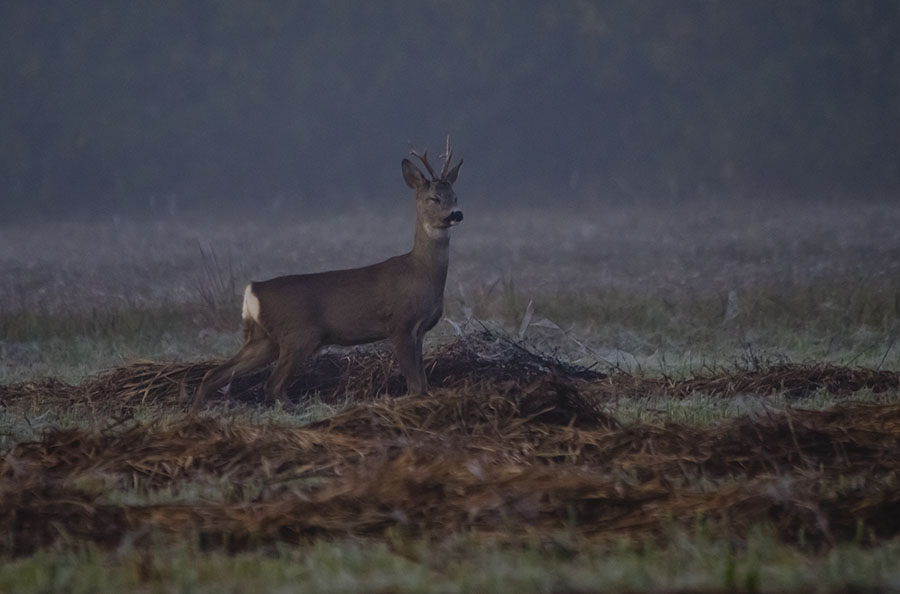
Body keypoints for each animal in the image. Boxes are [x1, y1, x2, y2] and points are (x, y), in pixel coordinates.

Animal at [194, 139, 468, 410]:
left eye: (455, 195)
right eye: (433, 198)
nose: (456, 214)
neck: (420, 272)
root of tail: (253, 290)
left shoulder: (420, 330)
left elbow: (423, 384)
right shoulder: (400, 324)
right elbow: (415, 386)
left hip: (265, 338)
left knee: (214, 374)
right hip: (299, 334)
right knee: (272, 384)